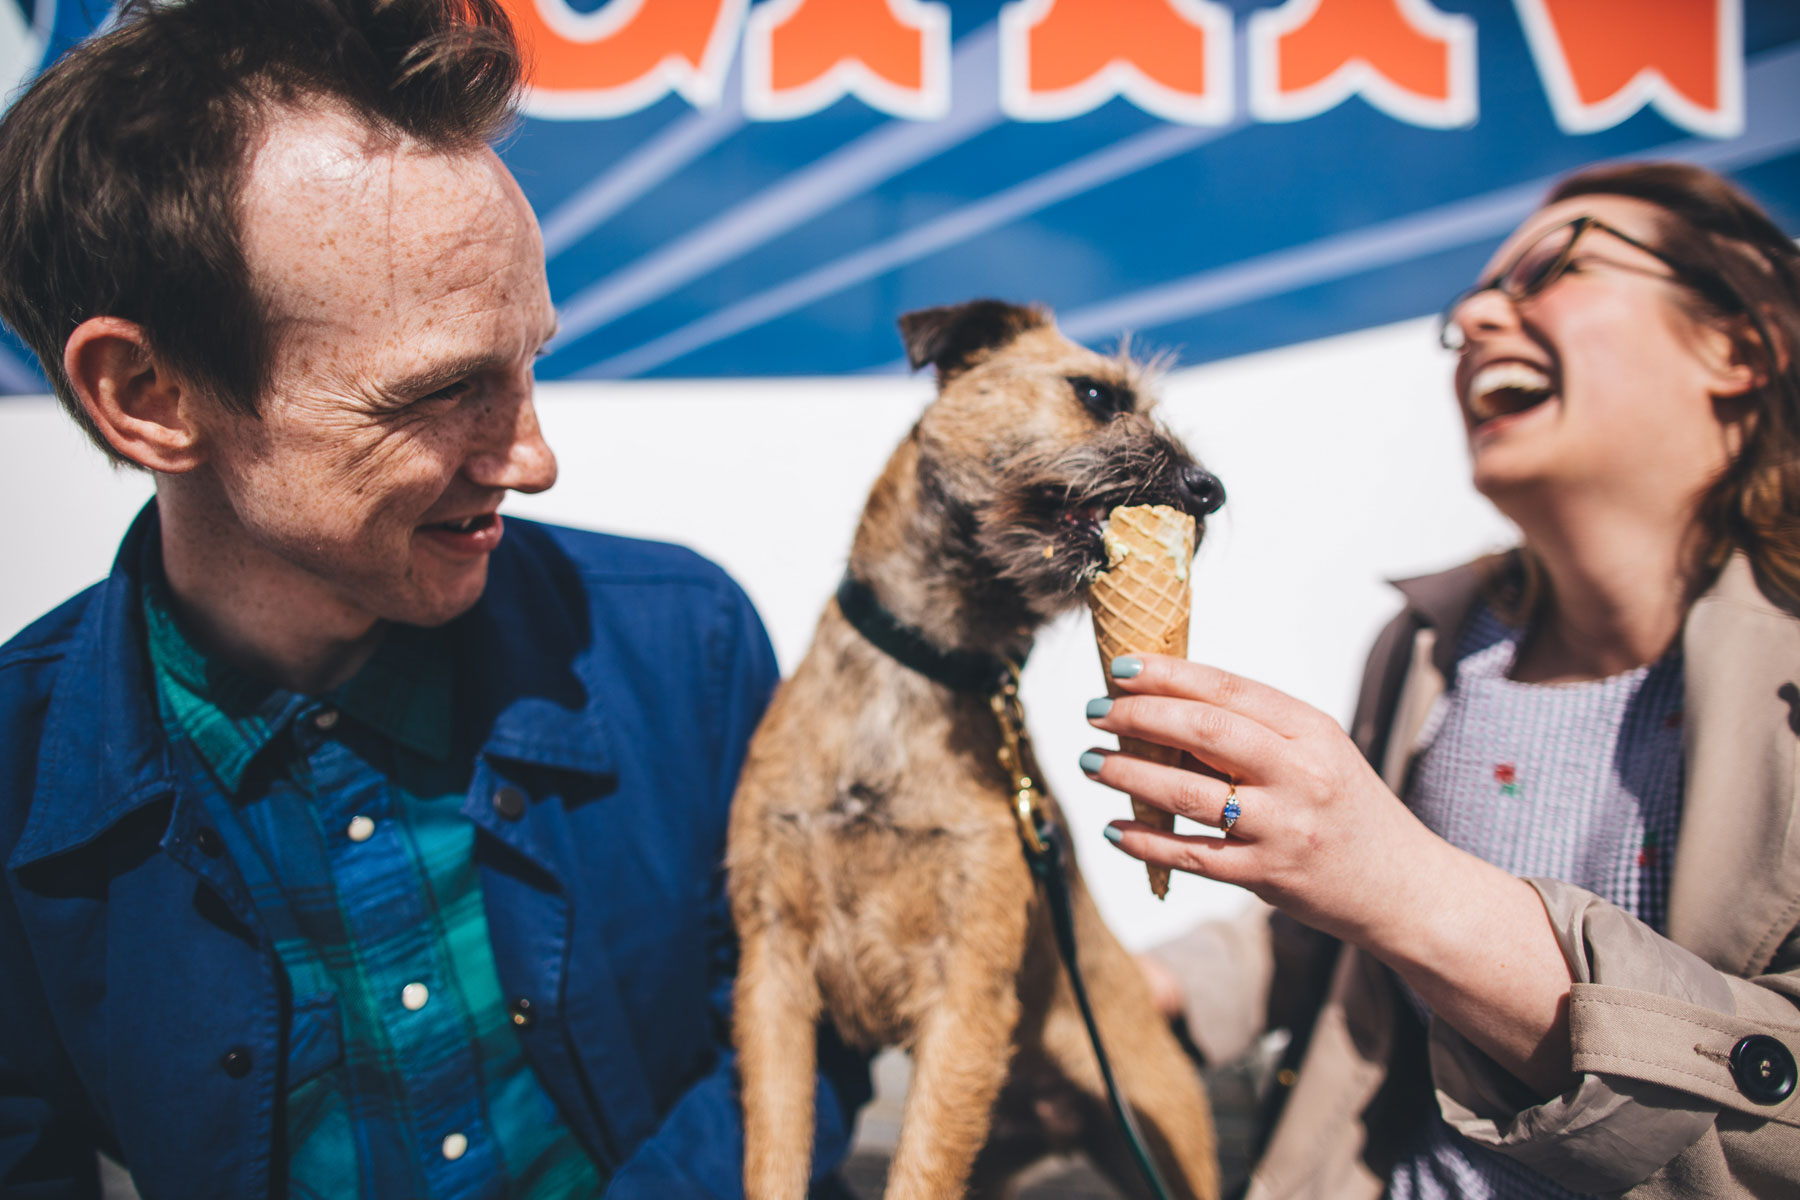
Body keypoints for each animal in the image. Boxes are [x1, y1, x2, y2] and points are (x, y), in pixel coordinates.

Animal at [727, 300, 1224, 1200]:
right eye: (1095, 394)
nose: (1211, 490)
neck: (926, 669)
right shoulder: (772, 972)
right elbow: (775, 1147)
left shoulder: (965, 996)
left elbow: (920, 1168)